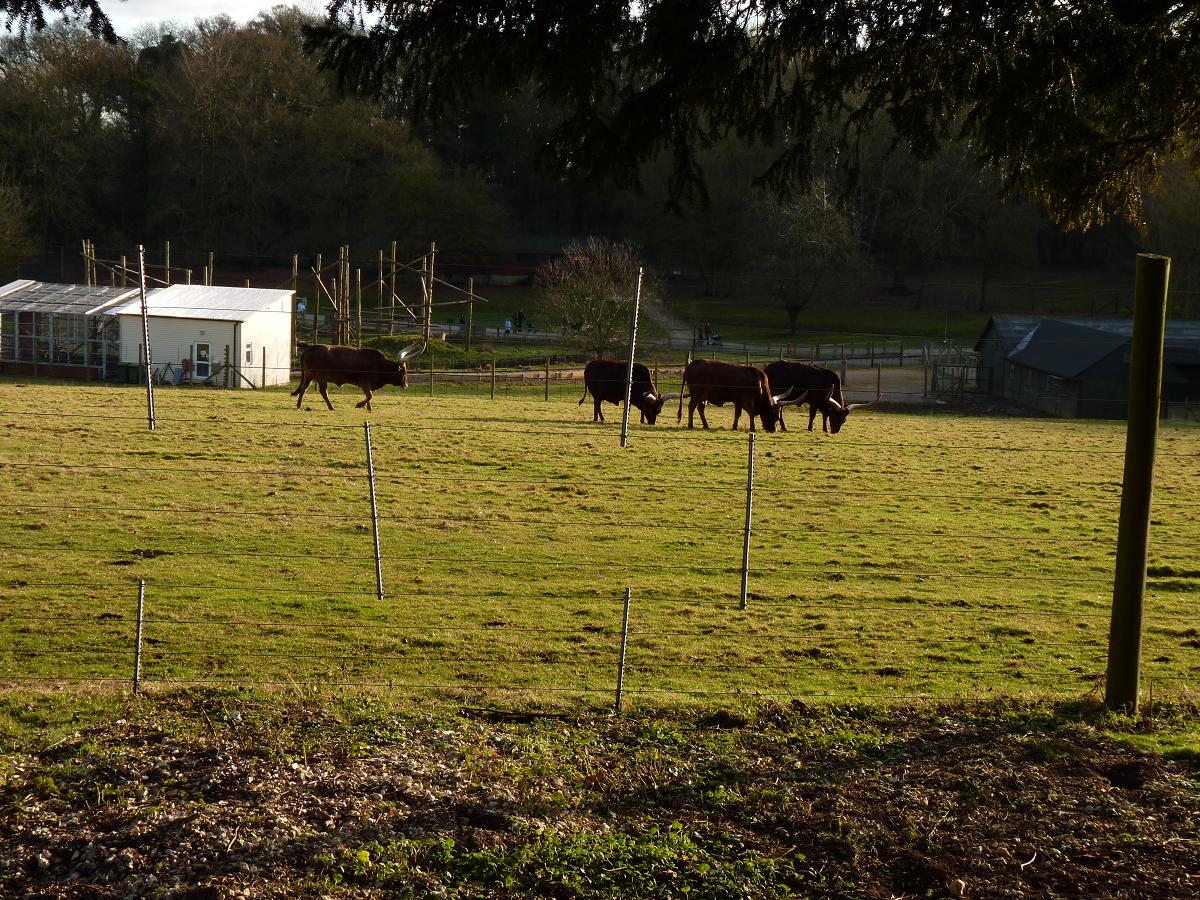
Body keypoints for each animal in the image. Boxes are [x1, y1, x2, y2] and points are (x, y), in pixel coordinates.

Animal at [291, 339, 425, 411]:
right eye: (403, 371)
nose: (406, 385)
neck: (379, 364)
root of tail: (309, 348)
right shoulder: (364, 383)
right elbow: (370, 395)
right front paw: (359, 405)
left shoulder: (368, 385)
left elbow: (369, 396)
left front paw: (369, 408)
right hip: (321, 377)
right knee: (323, 392)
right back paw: (331, 407)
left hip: (309, 376)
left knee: (303, 389)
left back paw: (299, 405)